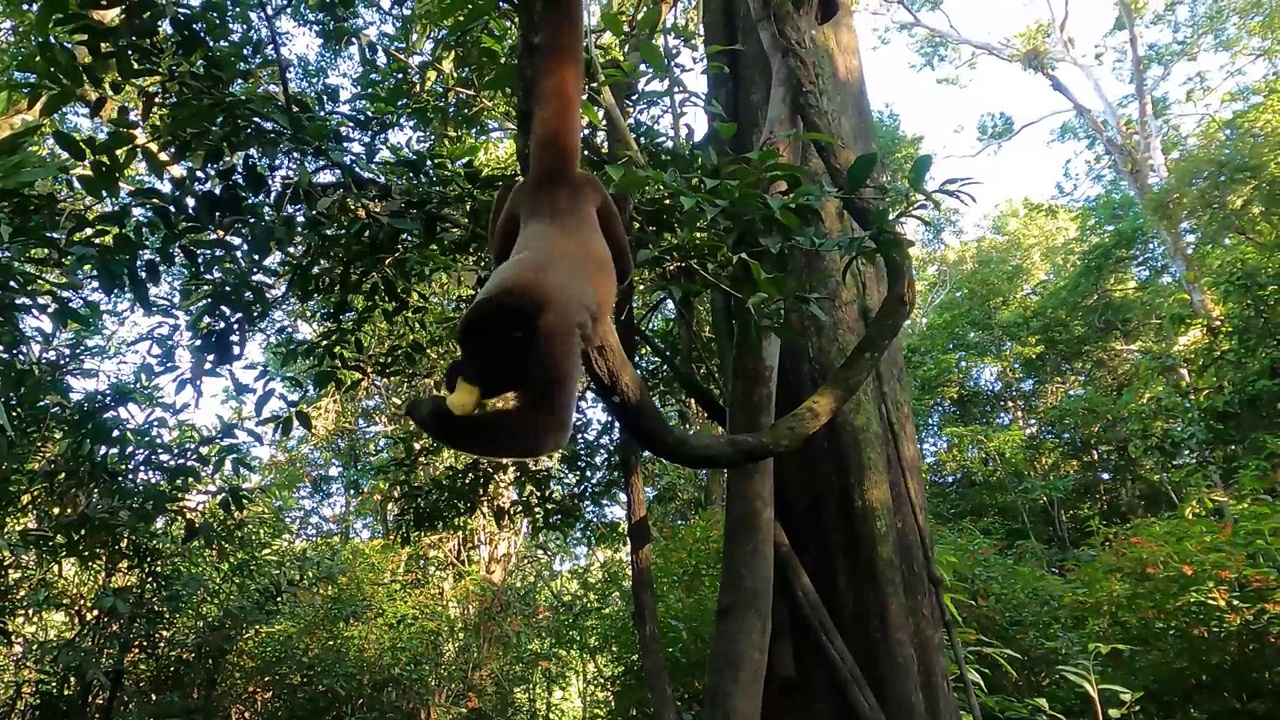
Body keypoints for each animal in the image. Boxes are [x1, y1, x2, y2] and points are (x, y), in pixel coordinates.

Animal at [407, 0, 632, 456]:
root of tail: (553, 179)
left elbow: (546, 427)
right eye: (468, 349)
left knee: (622, 261)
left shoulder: (554, 329)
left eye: (487, 353)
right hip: (543, 196)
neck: (525, 297)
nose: (469, 371)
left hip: (587, 189)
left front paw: (430, 412)